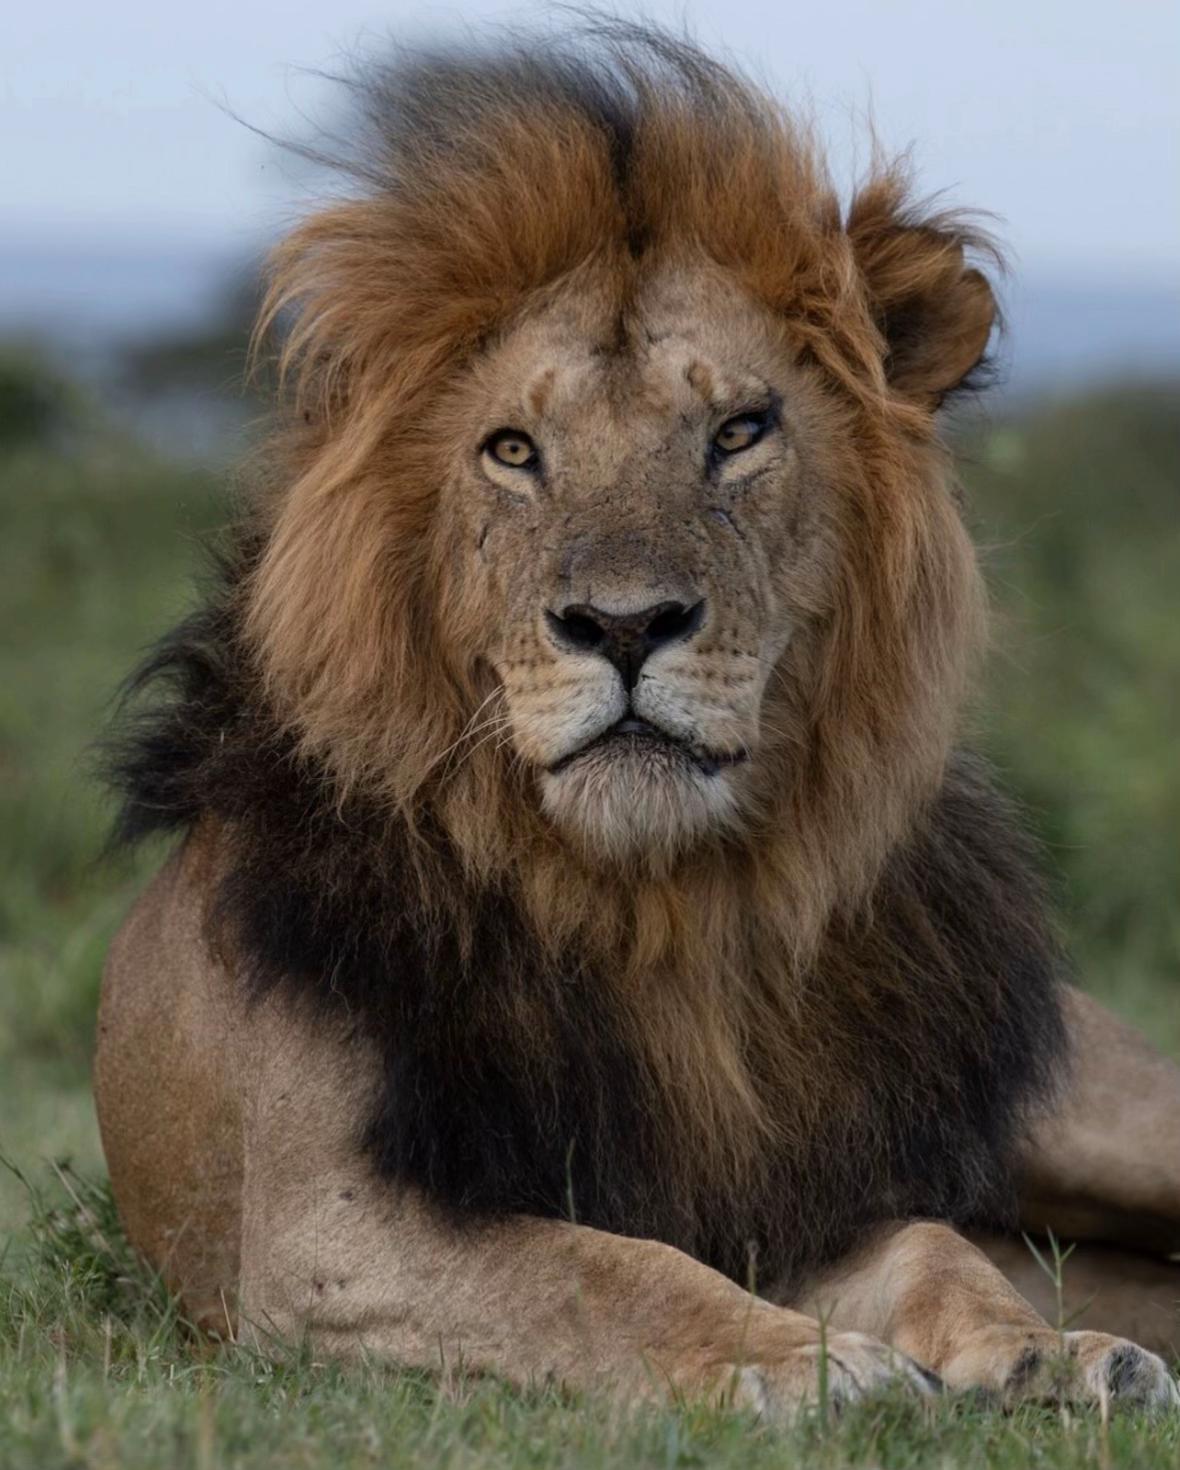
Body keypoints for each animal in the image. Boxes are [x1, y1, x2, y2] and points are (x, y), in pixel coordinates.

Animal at [95, 25, 1180, 1416]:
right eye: (512, 451)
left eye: (740, 431)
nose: (621, 625)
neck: (651, 907)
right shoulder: (317, 1227)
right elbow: (603, 1271)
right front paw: (804, 1362)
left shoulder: (794, 1185)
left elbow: (932, 1245)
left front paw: (1043, 1349)